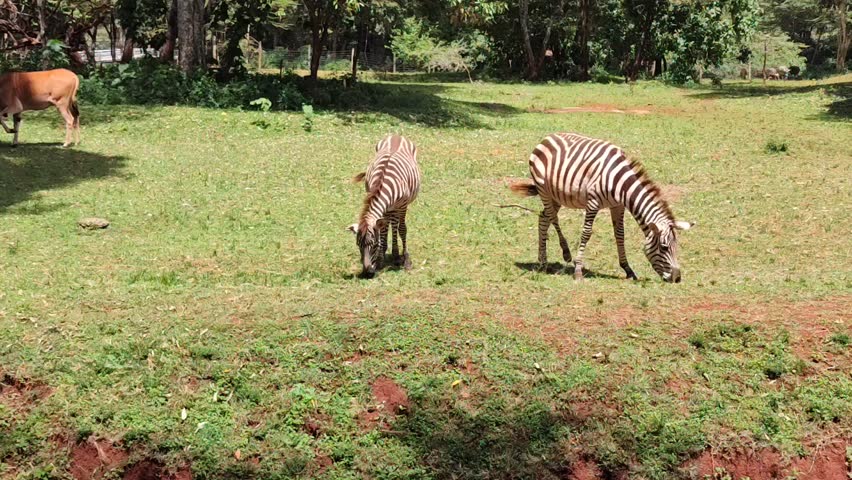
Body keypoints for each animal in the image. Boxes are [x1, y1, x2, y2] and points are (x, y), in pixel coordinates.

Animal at [348, 134, 421, 278]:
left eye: (374, 245)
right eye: (358, 245)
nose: (367, 274)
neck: (383, 180)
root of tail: (396, 135)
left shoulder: (403, 205)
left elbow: (402, 229)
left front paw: (406, 260)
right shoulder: (385, 206)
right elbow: (382, 230)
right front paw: (381, 260)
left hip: (397, 207)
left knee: (395, 225)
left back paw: (397, 255)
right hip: (390, 209)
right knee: (389, 225)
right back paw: (393, 252)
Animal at [510, 133, 693, 282]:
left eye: (676, 246)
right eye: (664, 247)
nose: (677, 278)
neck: (621, 184)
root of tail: (547, 138)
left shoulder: (618, 205)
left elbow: (620, 235)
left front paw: (628, 270)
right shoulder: (593, 203)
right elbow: (586, 234)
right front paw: (578, 270)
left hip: (556, 195)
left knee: (543, 218)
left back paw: (543, 262)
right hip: (544, 191)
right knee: (552, 218)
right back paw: (565, 252)